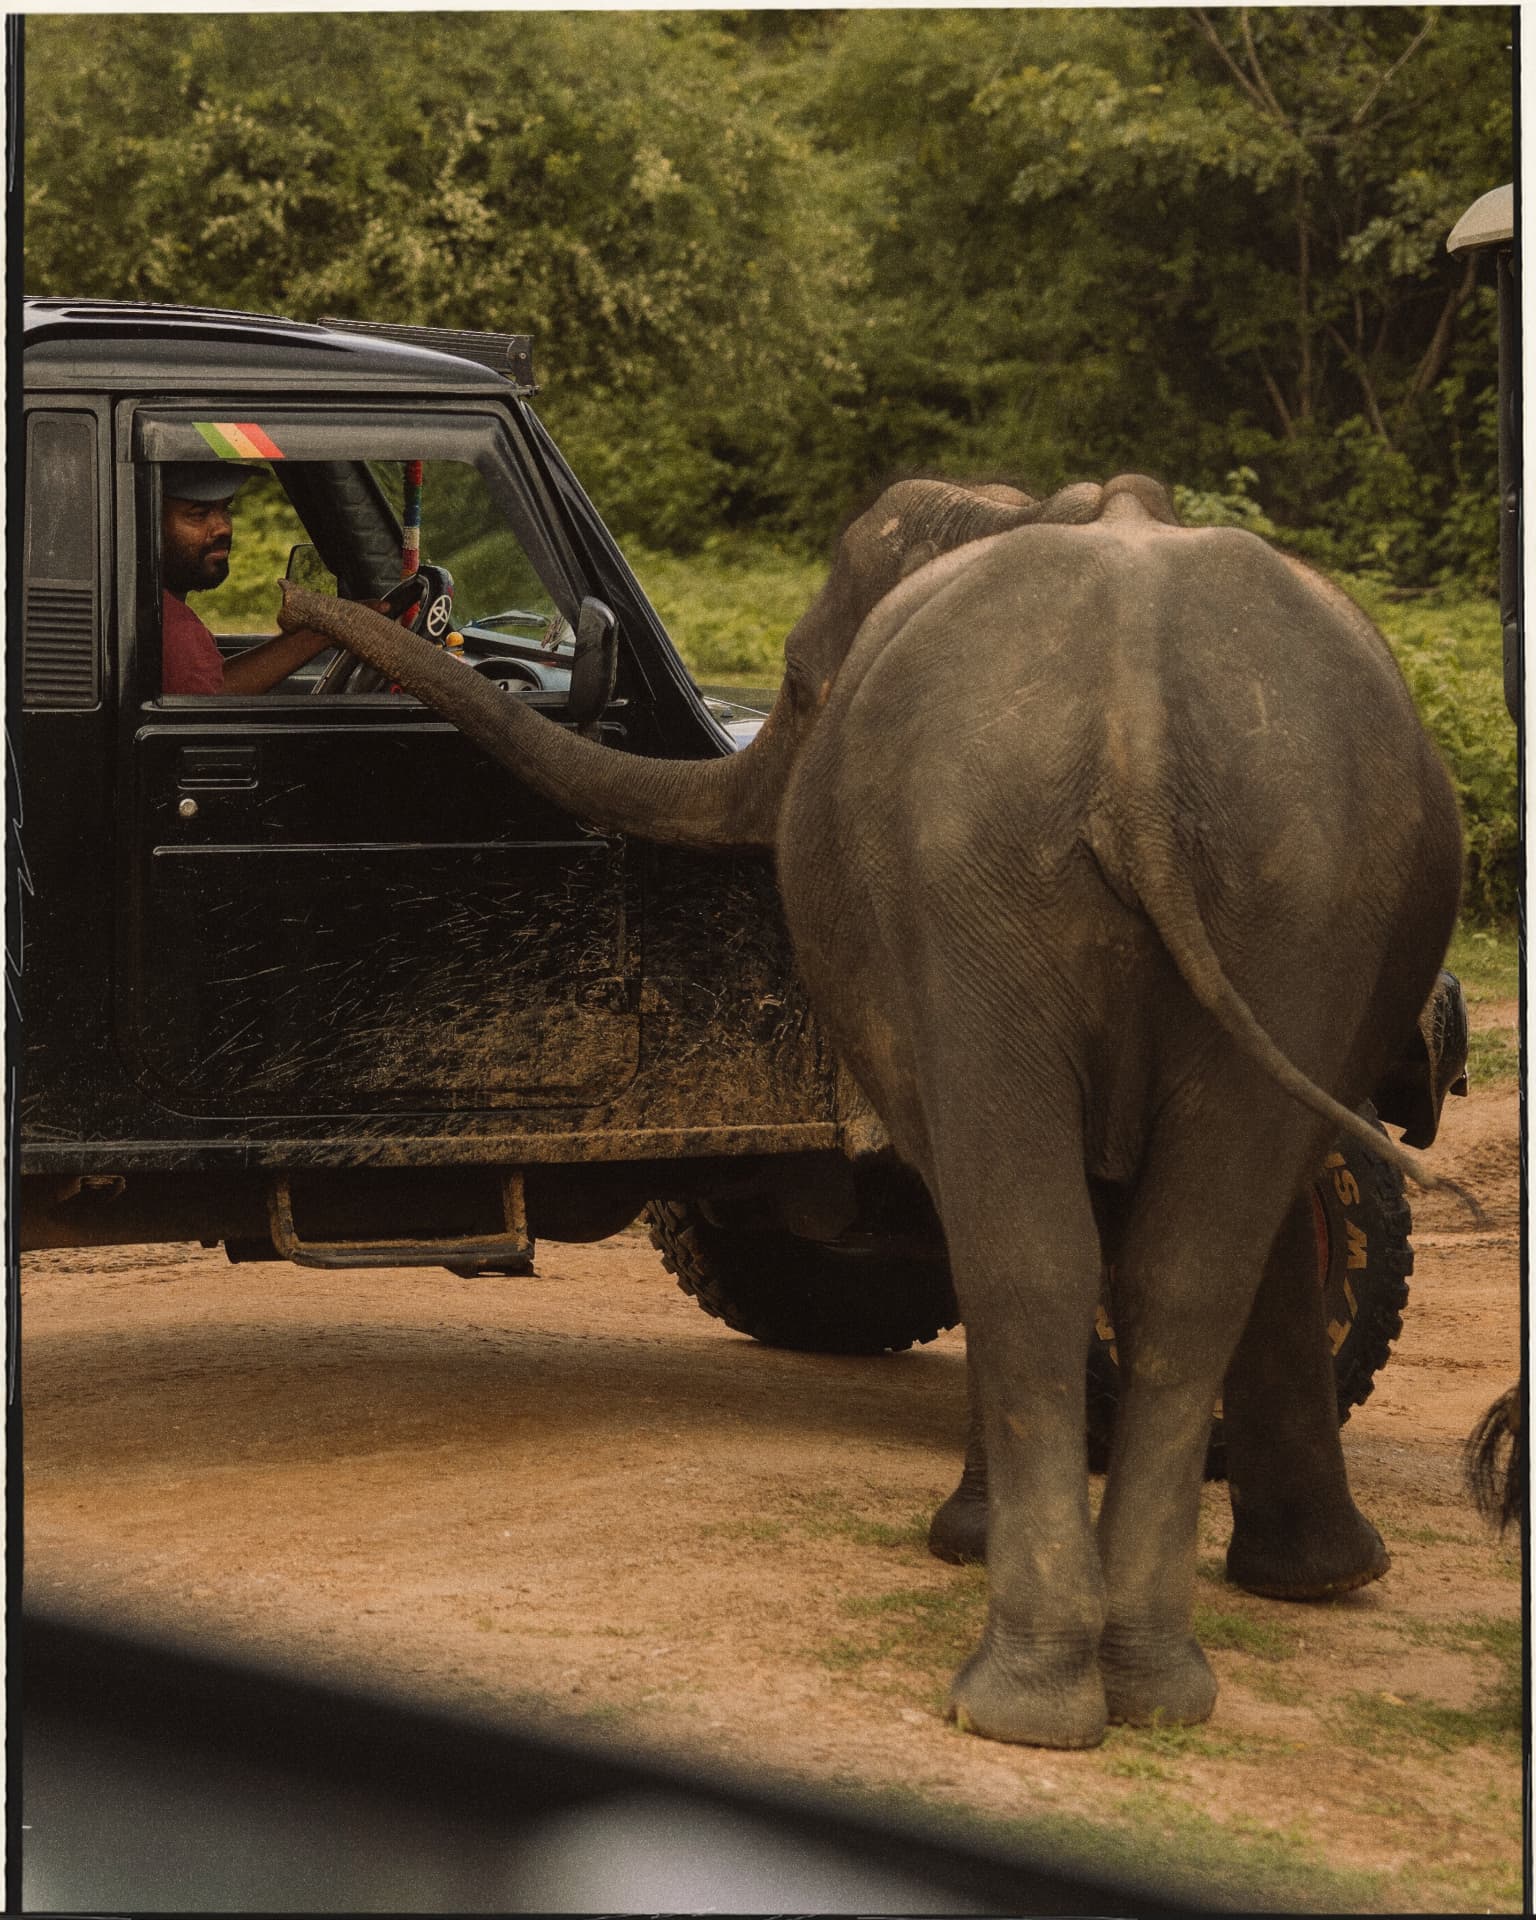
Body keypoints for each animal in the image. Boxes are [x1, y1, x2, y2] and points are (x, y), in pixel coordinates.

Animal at [281, 470, 1463, 1748]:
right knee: (1140, 1261)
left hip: (1140, 887)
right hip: (1218, 881)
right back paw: (1119, 1689)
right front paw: (1321, 1576)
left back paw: (1035, 1690)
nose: (296, 599)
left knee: (1071, 1257)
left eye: (805, 686)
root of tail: (1138, 728)